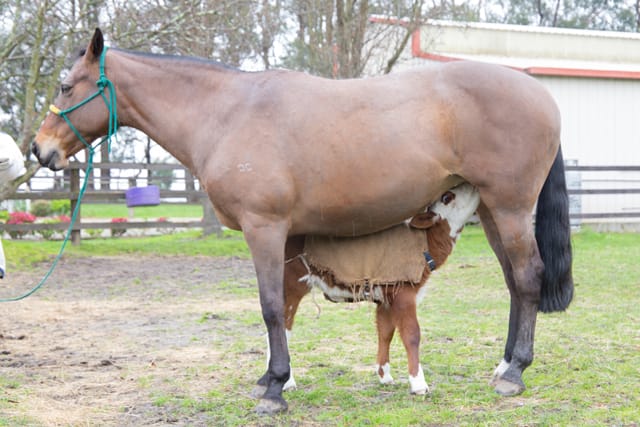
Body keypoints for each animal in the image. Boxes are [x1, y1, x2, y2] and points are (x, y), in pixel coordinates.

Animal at [270, 183, 480, 396]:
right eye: (447, 196)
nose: (470, 185)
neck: (424, 244)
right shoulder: (403, 292)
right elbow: (411, 334)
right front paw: (418, 383)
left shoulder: (385, 297)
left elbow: (386, 332)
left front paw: (385, 376)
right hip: (291, 285)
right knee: (282, 330)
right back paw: (287, 382)